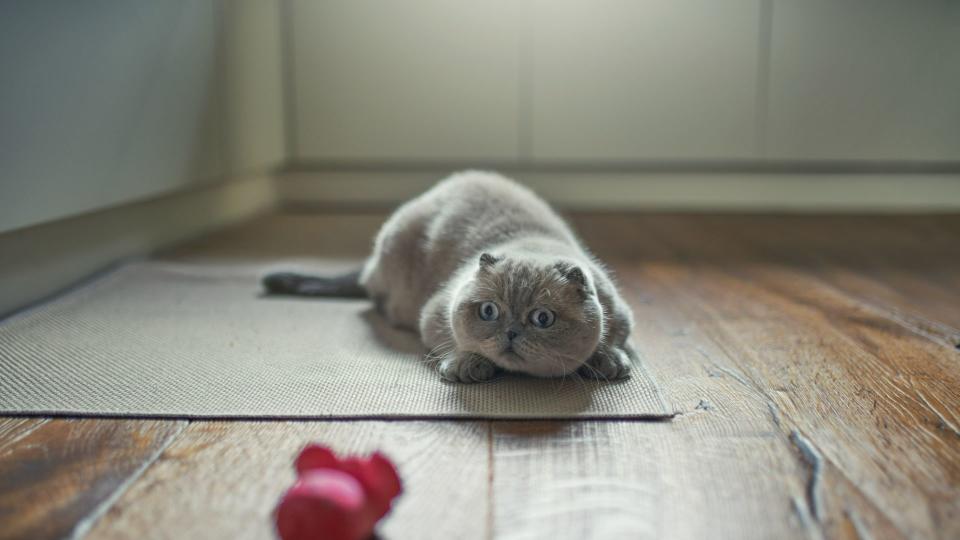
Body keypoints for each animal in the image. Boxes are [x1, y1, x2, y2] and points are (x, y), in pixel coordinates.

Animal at [262, 171, 636, 382]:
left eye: (542, 318)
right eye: (489, 312)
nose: (510, 333)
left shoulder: (621, 315)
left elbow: (613, 341)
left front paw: (608, 361)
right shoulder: (433, 314)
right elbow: (449, 342)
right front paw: (466, 367)